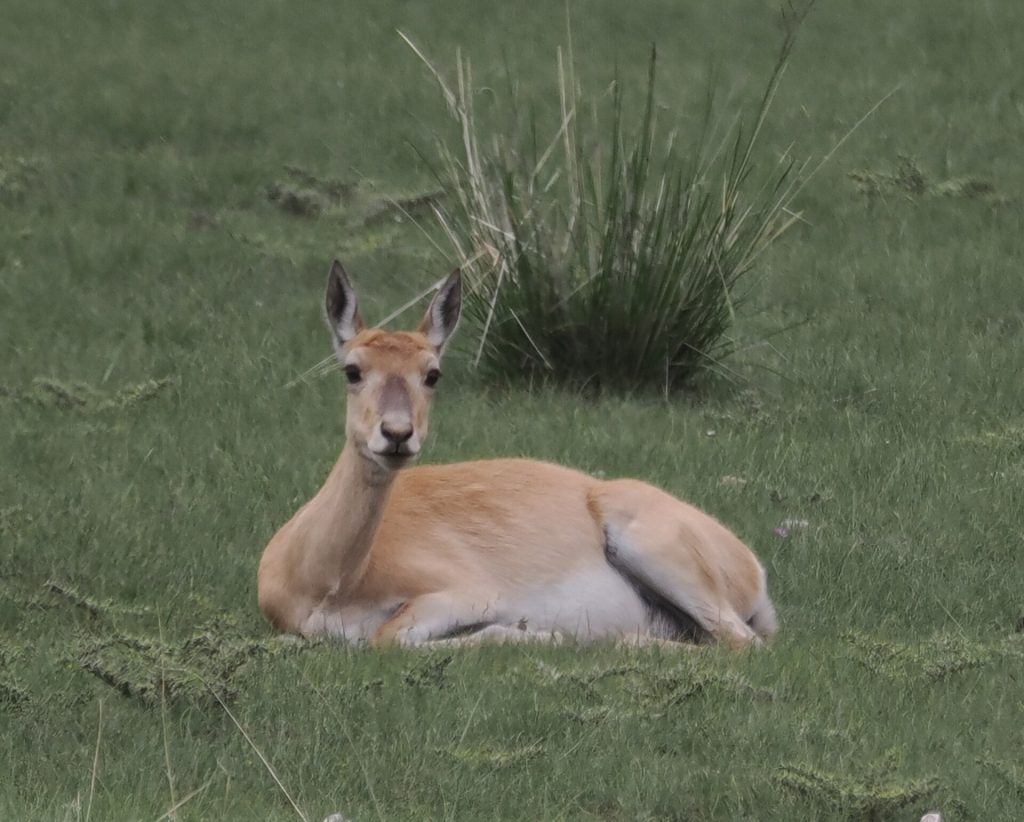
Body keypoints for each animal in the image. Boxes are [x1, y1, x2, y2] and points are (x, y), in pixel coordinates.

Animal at [257, 261, 778, 648]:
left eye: (432, 373)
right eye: (352, 369)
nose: (397, 433)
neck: (326, 583)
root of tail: (753, 568)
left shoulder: (470, 591)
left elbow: (392, 637)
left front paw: (534, 633)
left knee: (740, 642)